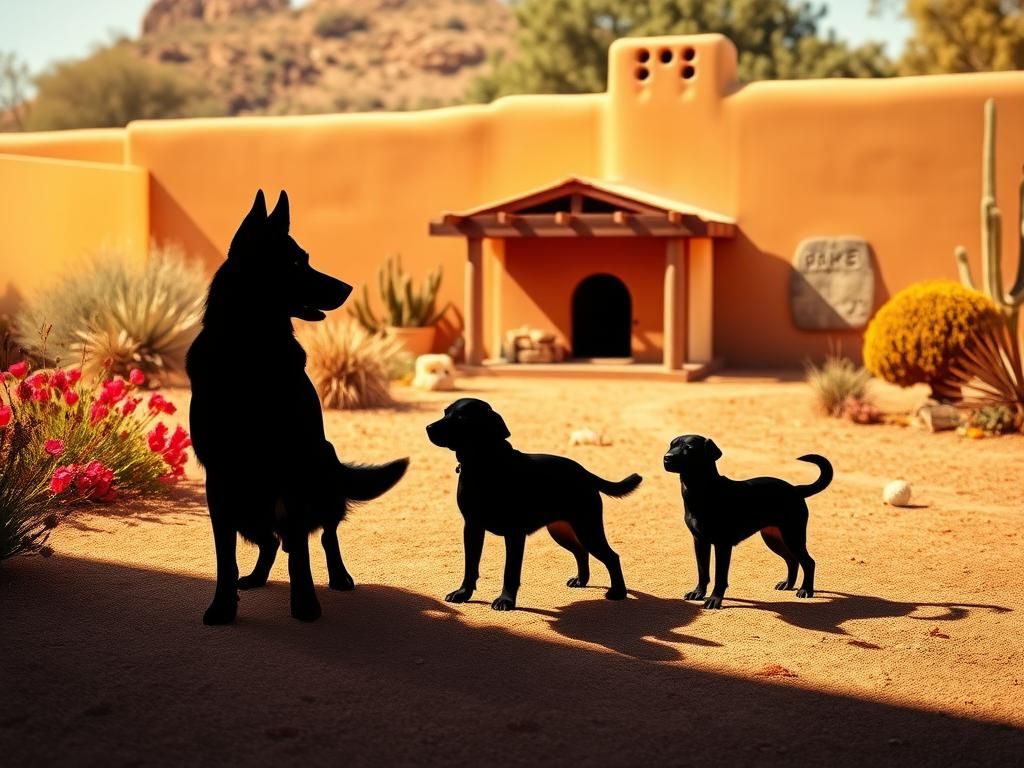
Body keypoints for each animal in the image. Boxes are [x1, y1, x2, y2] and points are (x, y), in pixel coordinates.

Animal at [186, 191, 409, 626]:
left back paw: (338, 576)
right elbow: (225, 559)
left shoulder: (292, 472)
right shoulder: (218, 482)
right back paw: (255, 578)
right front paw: (222, 606)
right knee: (273, 542)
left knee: (322, 534)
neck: (251, 349)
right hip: (247, 504)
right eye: (293, 263)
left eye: (306, 258)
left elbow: (302, 556)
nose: (348, 287)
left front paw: (305, 603)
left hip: (319, 471)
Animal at [423, 399, 638, 610]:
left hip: (588, 528)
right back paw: (581, 580)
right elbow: (470, 566)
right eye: (445, 412)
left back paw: (618, 593)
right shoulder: (472, 527)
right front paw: (463, 594)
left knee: (612, 557)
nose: (428, 427)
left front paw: (506, 601)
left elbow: (510, 571)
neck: (484, 463)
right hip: (562, 531)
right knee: (581, 551)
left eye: (461, 417)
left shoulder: (514, 533)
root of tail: (585, 472)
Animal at [663, 436, 831, 610]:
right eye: (671, 445)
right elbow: (703, 571)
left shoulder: (722, 544)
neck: (702, 490)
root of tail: (796, 489)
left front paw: (715, 599)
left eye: (689, 448)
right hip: (774, 538)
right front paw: (698, 593)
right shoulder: (700, 541)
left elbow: (720, 576)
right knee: (792, 560)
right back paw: (788, 584)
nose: (666, 458)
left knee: (809, 562)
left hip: (793, 536)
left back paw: (806, 590)